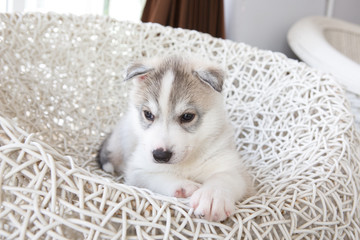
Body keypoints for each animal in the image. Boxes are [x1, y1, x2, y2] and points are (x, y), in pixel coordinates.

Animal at [97, 55, 252, 222]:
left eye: (187, 116)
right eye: (148, 114)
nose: (160, 155)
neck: (185, 163)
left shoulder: (232, 167)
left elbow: (224, 177)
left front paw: (212, 197)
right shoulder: (137, 170)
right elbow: (157, 177)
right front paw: (184, 186)